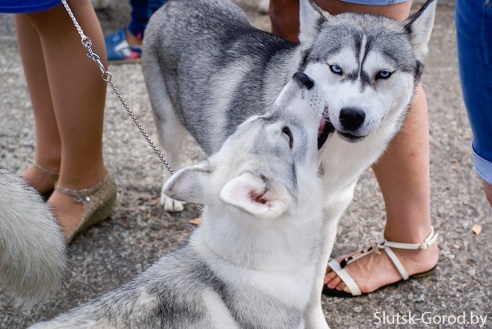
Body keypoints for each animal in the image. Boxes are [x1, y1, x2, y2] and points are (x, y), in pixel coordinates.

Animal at [143, 0, 438, 213]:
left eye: (384, 74)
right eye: (335, 69)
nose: (352, 116)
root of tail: (174, 3)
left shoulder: (331, 207)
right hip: (167, 120)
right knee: (170, 150)